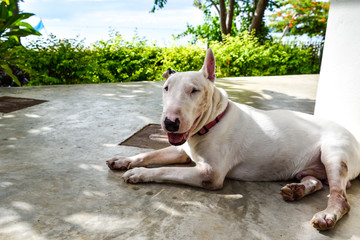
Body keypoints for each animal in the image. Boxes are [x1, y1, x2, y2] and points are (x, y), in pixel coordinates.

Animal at [107, 47, 360, 230]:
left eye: (194, 90)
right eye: (166, 88)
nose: (170, 123)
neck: (213, 122)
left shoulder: (210, 174)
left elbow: (163, 170)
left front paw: (138, 174)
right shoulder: (181, 149)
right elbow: (149, 154)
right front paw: (123, 160)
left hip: (334, 154)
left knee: (340, 196)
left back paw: (327, 215)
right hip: (312, 167)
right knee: (315, 181)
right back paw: (297, 189)